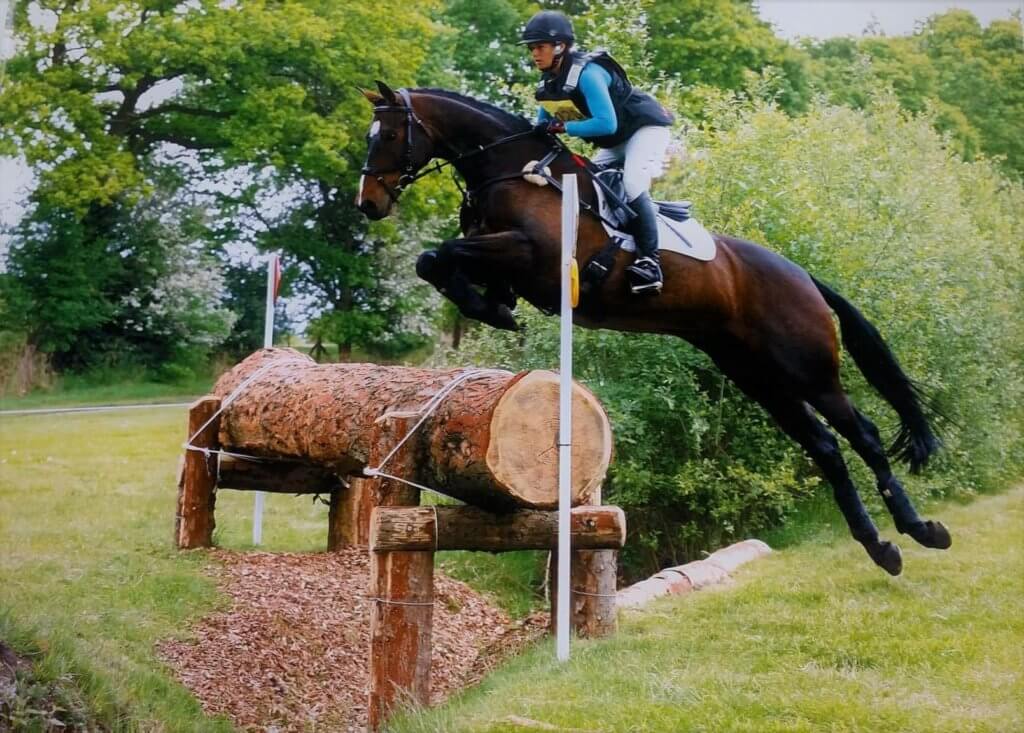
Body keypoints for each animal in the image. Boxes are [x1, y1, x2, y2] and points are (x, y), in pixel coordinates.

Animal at [355, 81, 951, 576]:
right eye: (371, 136)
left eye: (390, 135)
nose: (369, 203)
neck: (509, 169)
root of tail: (802, 275)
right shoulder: (504, 259)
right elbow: (434, 261)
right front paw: (490, 306)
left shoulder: (531, 257)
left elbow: (441, 255)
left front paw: (490, 308)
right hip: (758, 378)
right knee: (825, 447)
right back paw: (880, 546)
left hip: (807, 370)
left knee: (864, 435)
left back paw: (920, 530)